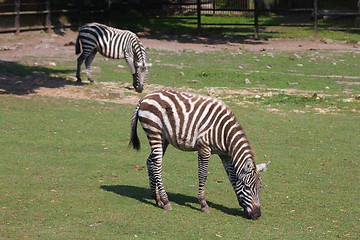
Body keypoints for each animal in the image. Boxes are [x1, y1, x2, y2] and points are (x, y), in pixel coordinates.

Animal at [129, 87, 270, 219]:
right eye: (247, 187)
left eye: (260, 188)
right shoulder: (204, 148)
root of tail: (145, 97)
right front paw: (203, 204)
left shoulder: (225, 154)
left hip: (163, 138)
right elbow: (203, 175)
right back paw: (165, 201)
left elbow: (232, 177)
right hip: (154, 132)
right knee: (157, 165)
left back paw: (156, 198)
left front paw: (241, 204)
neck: (224, 133)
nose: (257, 215)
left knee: (150, 161)